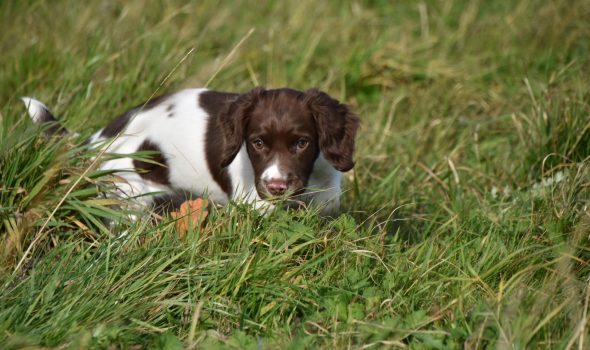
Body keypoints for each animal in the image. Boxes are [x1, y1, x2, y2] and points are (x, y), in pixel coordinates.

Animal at [23, 86, 360, 215]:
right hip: (129, 197)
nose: (276, 187)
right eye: (257, 143)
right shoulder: (253, 205)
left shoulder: (326, 203)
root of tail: (99, 140)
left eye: (302, 143)